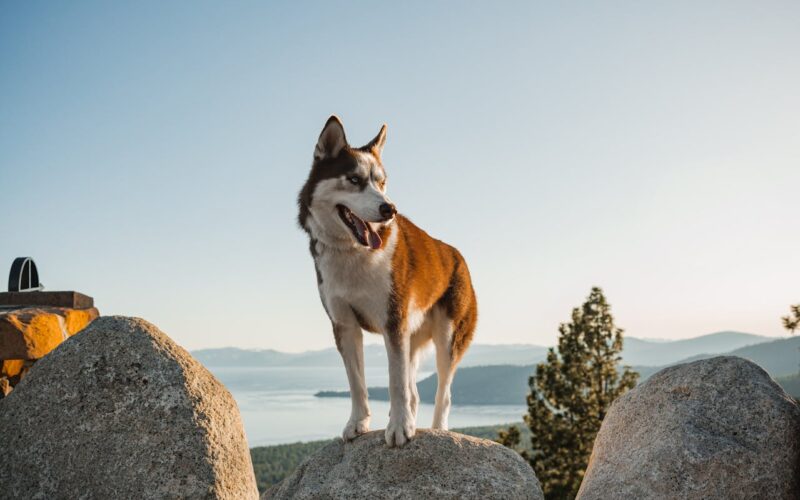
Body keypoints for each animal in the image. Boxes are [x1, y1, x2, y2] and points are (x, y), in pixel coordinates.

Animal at [298, 116, 476, 446]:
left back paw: (438, 429)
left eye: (382, 183)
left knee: (442, 394)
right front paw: (358, 422)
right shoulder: (344, 325)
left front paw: (400, 427)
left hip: (448, 337)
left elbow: (396, 384)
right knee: (415, 392)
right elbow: (357, 382)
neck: (354, 252)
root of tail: (457, 255)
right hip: (413, 338)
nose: (389, 209)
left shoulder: (393, 321)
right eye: (354, 179)